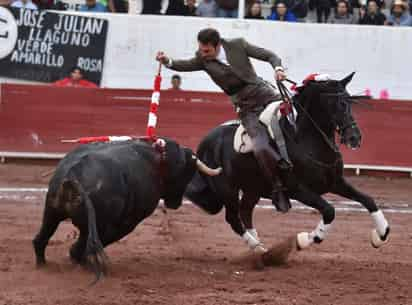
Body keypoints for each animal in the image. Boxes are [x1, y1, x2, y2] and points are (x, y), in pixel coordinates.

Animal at [32, 138, 220, 278]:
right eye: (187, 173)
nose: (176, 203)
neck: (158, 159)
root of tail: (73, 175)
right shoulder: (128, 223)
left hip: (51, 212)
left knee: (41, 239)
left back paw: (43, 265)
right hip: (96, 225)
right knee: (77, 248)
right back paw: (88, 265)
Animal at [185, 73, 392, 252]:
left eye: (349, 101)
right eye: (335, 103)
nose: (354, 138)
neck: (306, 140)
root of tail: (205, 142)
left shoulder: (335, 182)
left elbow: (368, 199)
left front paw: (381, 234)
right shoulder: (298, 189)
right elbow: (329, 210)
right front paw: (304, 240)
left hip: (253, 189)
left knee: (245, 212)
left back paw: (259, 247)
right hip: (227, 189)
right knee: (233, 219)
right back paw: (259, 249)